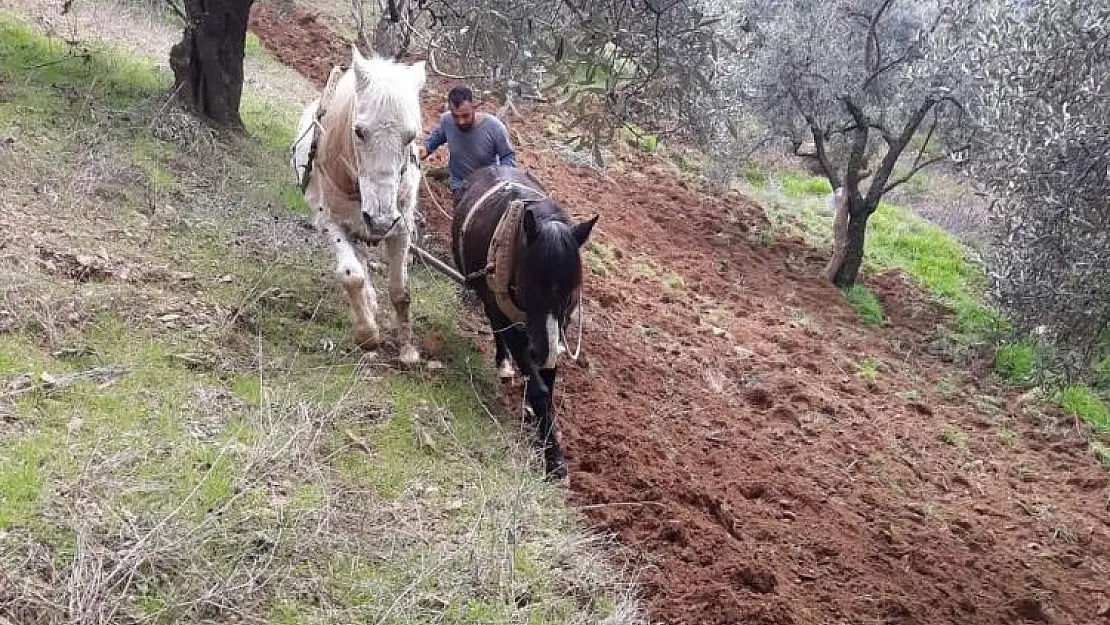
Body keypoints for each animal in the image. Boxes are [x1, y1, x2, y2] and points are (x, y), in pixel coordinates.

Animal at [290, 46, 424, 364]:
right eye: (359, 131)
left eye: (411, 136)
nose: (380, 220)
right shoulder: (331, 221)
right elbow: (352, 276)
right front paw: (367, 334)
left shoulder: (401, 228)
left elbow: (400, 291)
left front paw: (407, 349)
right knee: (359, 263)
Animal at [448, 165, 594, 479]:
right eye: (530, 286)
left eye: (570, 296)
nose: (541, 350)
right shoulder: (509, 316)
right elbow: (540, 389)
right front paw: (554, 460)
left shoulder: (556, 330)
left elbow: (548, 384)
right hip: (489, 300)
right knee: (497, 329)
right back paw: (504, 363)